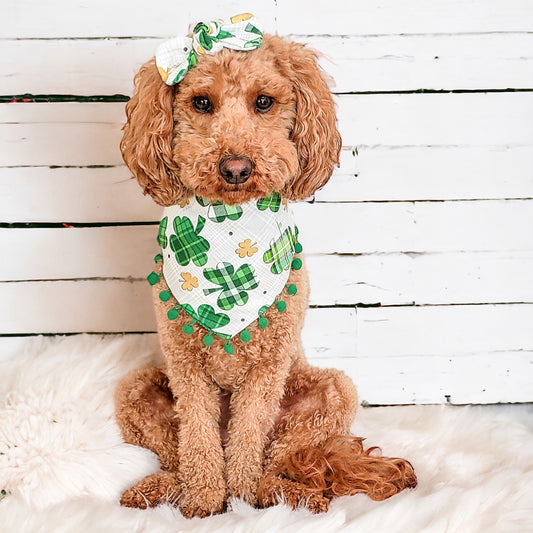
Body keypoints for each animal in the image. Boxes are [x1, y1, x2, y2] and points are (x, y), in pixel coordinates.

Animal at [115, 15, 416, 516]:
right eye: (201, 102)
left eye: (264, 102)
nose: (236, 167)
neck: (227, 237)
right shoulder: (184, 365)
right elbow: (197, 439)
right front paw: (204, 503)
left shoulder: (268, 369)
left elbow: (249, 435)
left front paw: (237, 498)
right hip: (135, 392)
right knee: (179, 453)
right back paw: (163, 489)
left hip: (331, 393)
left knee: (277, 455)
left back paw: (283, 493)